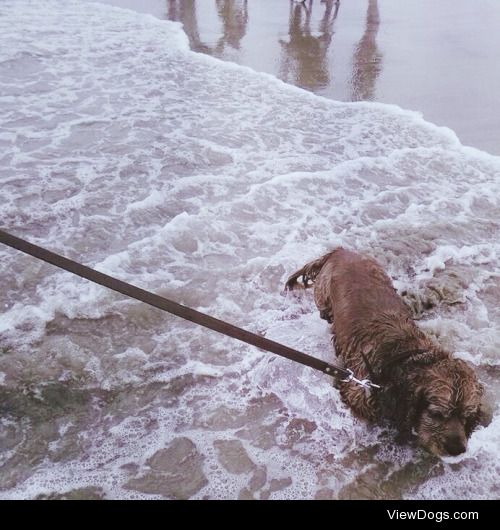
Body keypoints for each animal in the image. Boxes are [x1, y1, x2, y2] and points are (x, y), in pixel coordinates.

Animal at [286, 248, 488, 454]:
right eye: (436, 414)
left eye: (466, 417)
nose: (457, 450)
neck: (402, 358)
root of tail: (341, 250)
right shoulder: (358, 392)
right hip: (324, 296)